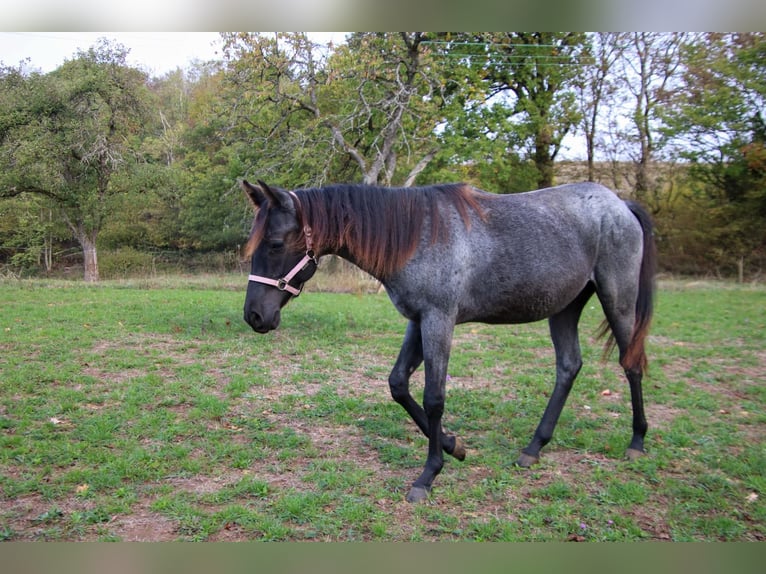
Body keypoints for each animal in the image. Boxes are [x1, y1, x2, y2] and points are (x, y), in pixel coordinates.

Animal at [240, 179, 656, 503]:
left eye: (275, 243)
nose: (254, 316)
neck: (417, 235)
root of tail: (620, 204)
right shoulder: (418, 320)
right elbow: (398, 384)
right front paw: (454, 446)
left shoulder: (439, 320)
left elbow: (434, 398)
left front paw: (428, 475)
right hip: (565, 307)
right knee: (568, 366)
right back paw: (534, 448)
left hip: (617, 300)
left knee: (630, 362)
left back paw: (637, 443)